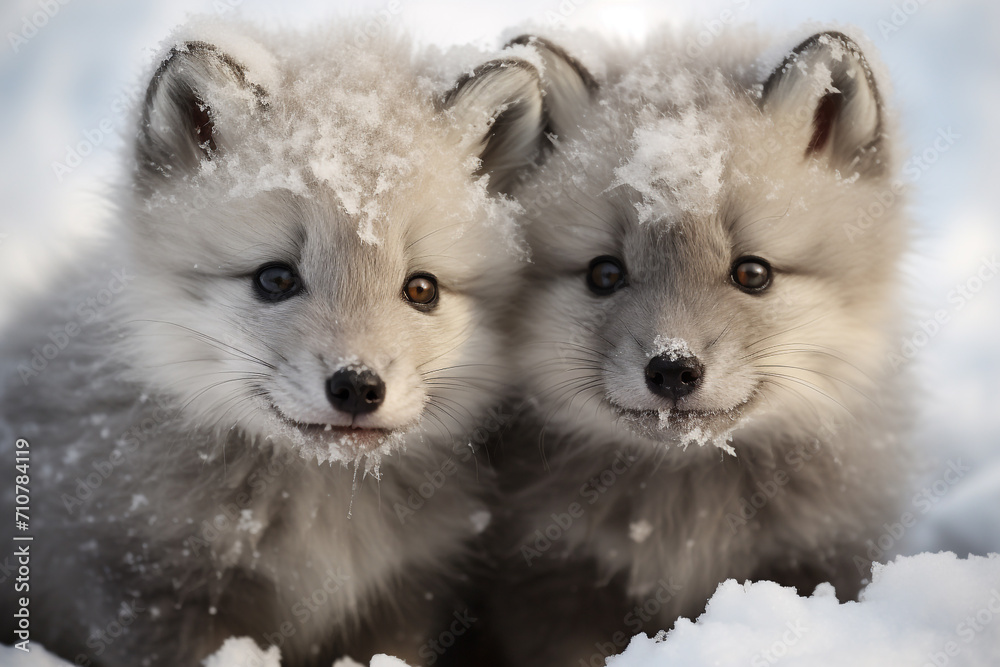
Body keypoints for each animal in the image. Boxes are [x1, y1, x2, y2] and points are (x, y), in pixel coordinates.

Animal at [0, 20, 554, 667]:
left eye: (421, 289)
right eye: (275, 279)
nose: (358, 386)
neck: (321, 516)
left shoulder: (401, 604)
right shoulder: (153, 593)